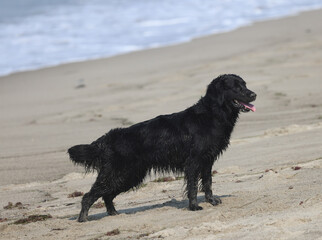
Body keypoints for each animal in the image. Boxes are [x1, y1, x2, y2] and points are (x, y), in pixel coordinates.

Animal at [68, 74, 256, 222]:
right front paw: (194, 207)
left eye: (245, 84)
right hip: (118, 172)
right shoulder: (193, 161)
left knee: (107, 195)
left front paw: (212, 201)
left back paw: (114, 214)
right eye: (236, 87)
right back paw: (83, 218)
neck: (212, 114)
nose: (254, 94)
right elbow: (193, 187)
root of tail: (107, 139)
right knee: (89, 195)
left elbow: (208, 183)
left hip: (130, 175)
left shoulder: (207, 160)